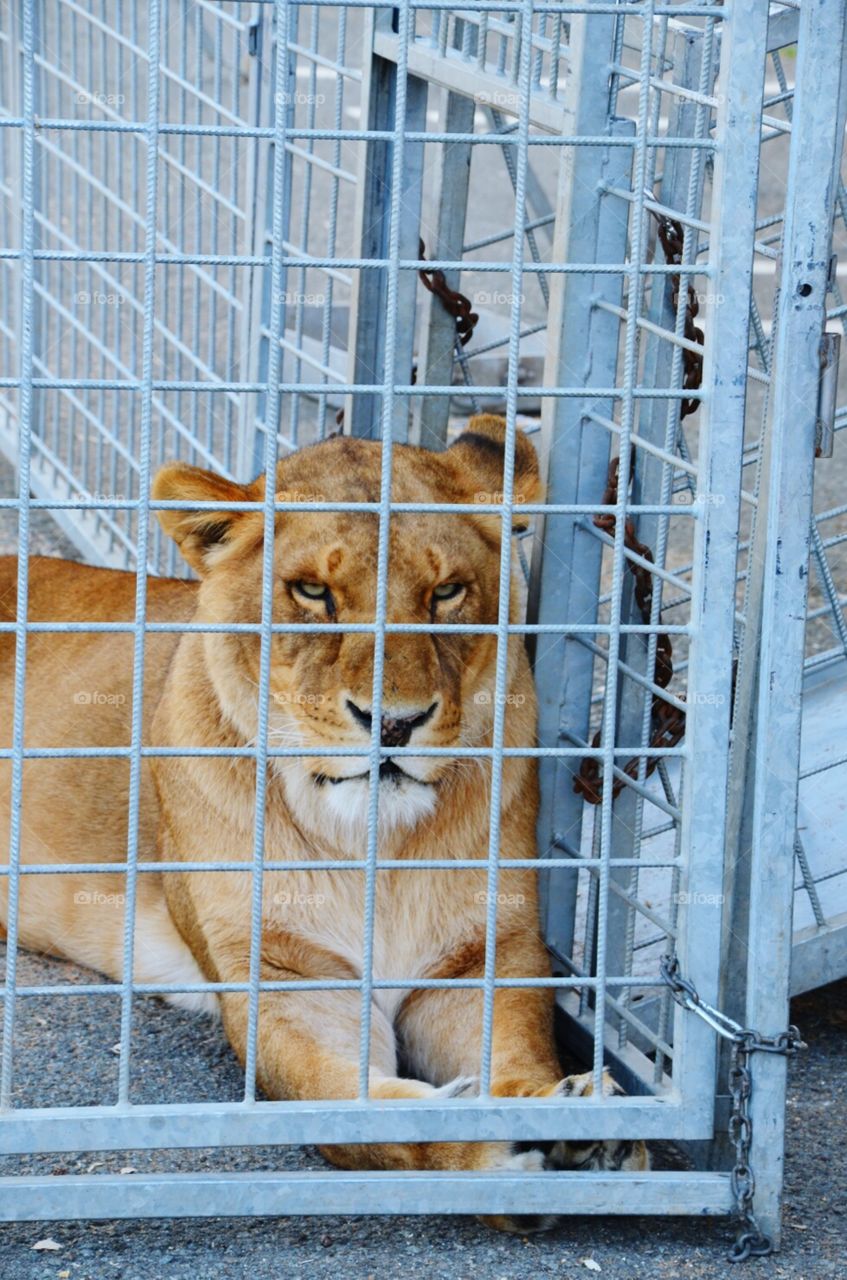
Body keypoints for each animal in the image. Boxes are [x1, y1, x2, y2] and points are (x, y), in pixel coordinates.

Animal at [0, 415, 647, 1230]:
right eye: (312, 592)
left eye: (445, 593)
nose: (394, 723)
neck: (376, 846)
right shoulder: (287, 976)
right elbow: (356, 1107)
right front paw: (483, 1142)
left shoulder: (480, 958)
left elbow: (515, 1051)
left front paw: (570, 1117)